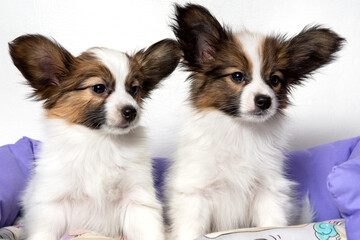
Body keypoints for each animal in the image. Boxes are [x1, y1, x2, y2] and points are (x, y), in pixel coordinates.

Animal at [9, 34, 181, 240]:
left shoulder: (137, 199)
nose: (131, 111)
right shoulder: (53, 203)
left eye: (134, 89)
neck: (101, 141)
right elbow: (44, 233)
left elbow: (148, 231)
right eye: (99, 88)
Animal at [165, 3, 344, 240]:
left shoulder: (268, 191)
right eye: (237, 76)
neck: (241, 130)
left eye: (275, 80)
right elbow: (191, 230)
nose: (264, 101)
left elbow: (273, 223)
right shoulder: (196, 192)